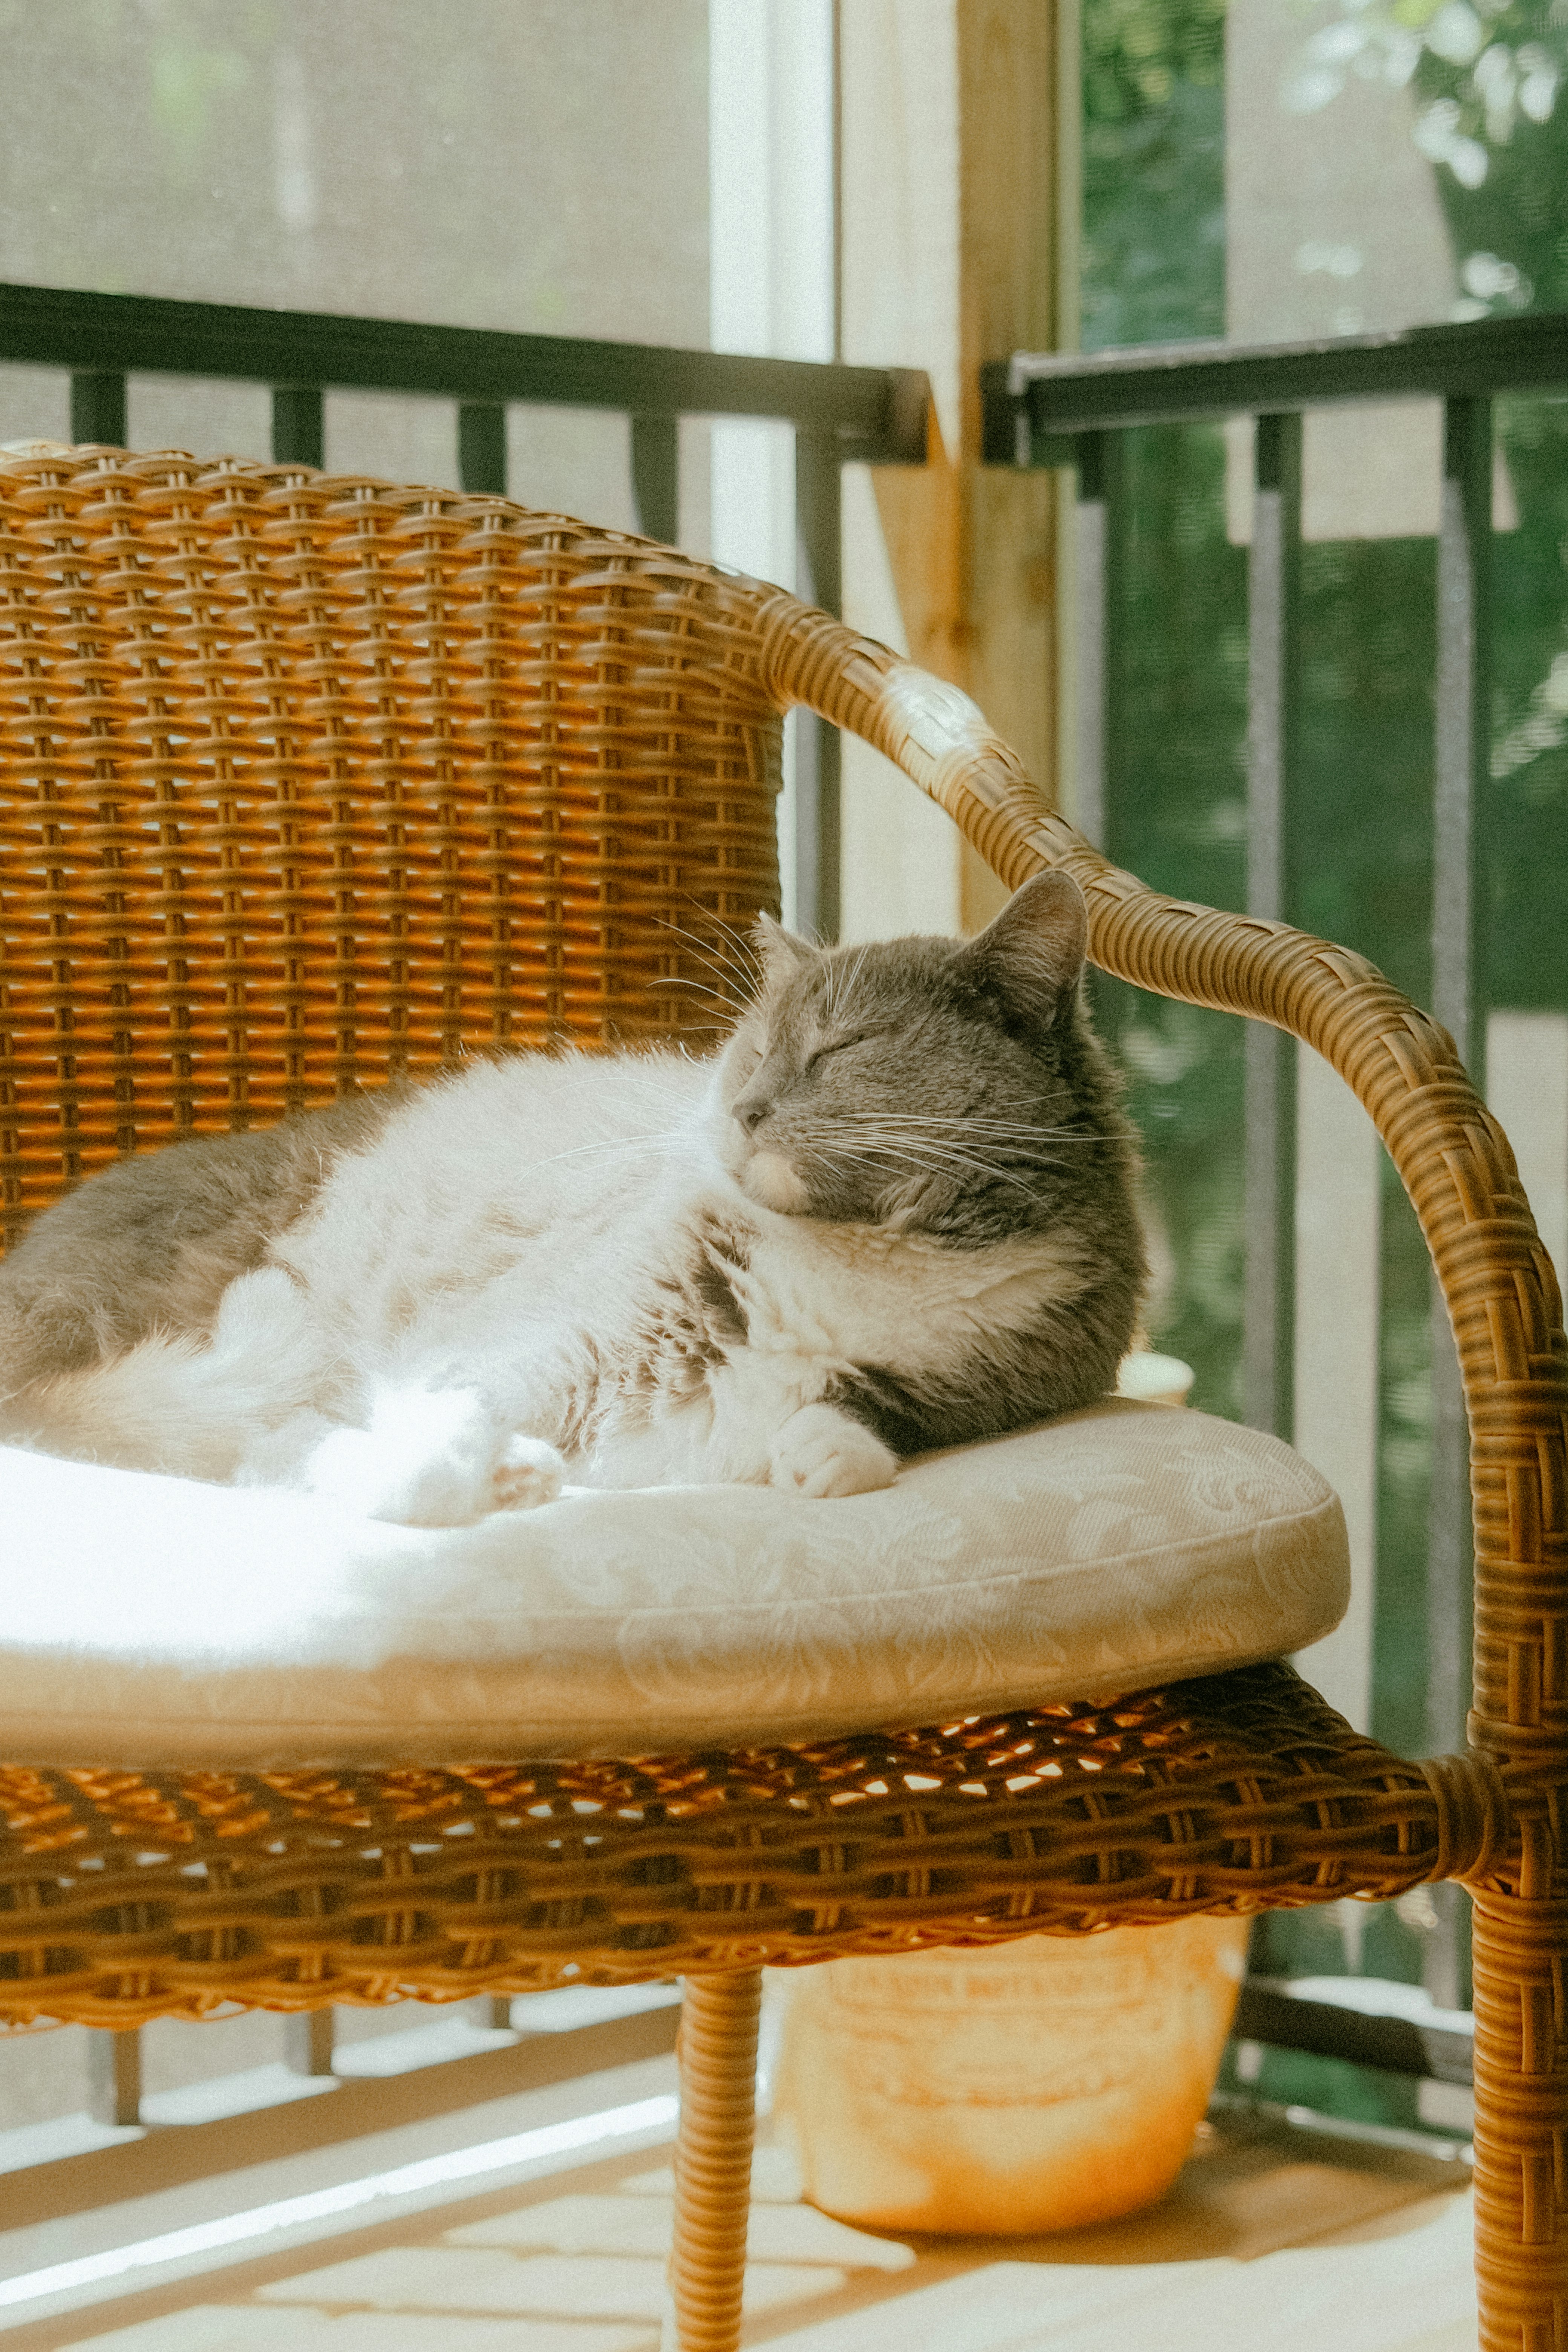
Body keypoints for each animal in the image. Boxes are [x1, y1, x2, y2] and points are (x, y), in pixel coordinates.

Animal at [3, 875, 1152, 1533]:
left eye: (843, 1049)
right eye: (751, 1049)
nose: (742, 1107)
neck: (854, 1256)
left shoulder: (1033, 1361)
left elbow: (886, 1410)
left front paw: (829, 1449)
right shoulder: (480, 1353)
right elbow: (365, 1448)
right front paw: (465, 1475)